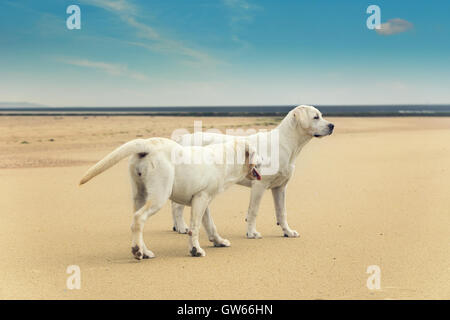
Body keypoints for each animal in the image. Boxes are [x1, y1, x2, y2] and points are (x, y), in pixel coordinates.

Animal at [79, 138, 262, 260]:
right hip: (159, 197)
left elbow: (210, 225)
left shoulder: (203, 200)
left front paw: (218, 241)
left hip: (140, 196)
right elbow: (194, 228)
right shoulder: (201, 199)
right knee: (139, 218)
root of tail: (148, 145)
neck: (227, 158)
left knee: (136, 222)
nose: (264, 160)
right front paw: (195, 250)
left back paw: (144, 251)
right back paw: (137, 251)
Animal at [171, 106, 332, 239]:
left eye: (321, 116)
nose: (332, 126)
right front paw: (251, 233)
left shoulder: (280, 187)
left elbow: (282, 212)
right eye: (315, 117)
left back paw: (177, 227)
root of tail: (182, 139)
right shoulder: (259, 185)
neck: (285, 143)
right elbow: (253, 211)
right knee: (177, 207)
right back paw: (181, 227)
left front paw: (287, 231)